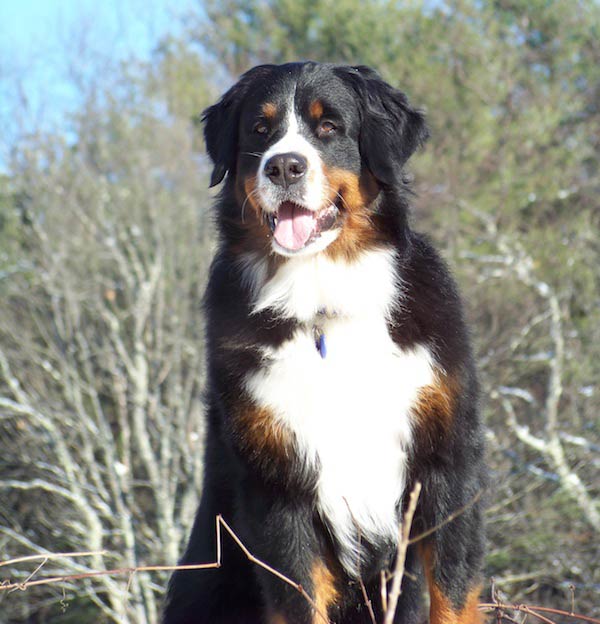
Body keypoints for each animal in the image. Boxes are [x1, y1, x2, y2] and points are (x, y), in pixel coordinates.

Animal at [164, 62, 488, 624]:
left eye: (329, 127)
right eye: (260, 129)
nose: (284, 166)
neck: (321, 302)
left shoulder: (447, 465)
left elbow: (452, 595)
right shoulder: (278, 488)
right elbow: (298, 597)